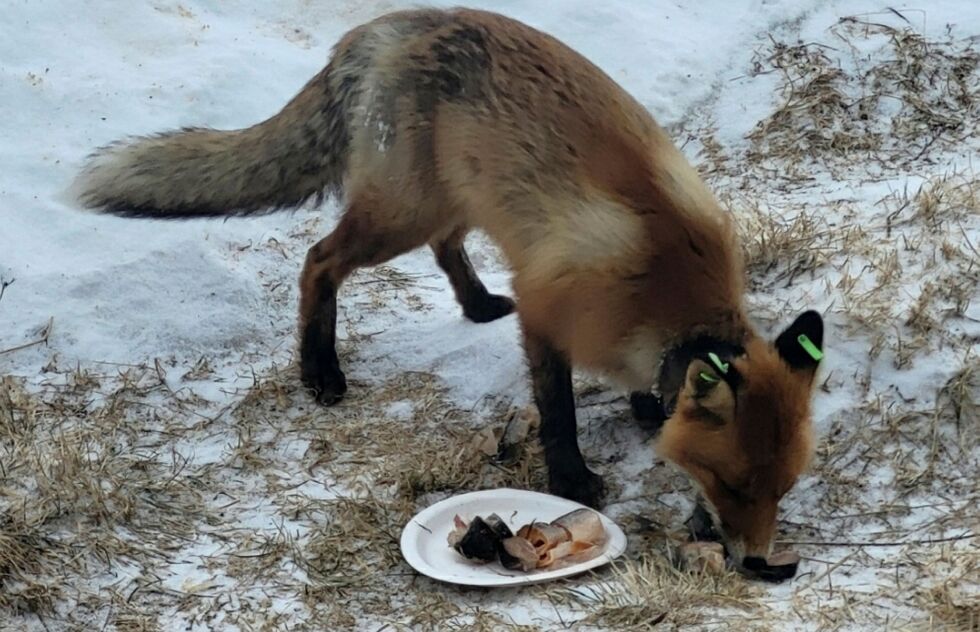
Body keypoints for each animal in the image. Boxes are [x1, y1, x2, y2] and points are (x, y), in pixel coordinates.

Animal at [69, 7, 824, 576]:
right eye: (732, 485)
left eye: (782, 489)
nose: (759, 563)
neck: (661, 286)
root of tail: (387, 24)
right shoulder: (548, 312)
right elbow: (559, 412)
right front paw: (573, 480)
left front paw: (645, 409)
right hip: (401, 213)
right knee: (318, 260)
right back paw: (320, 369)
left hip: (457, 200)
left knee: (443, 247)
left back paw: (478, 304)